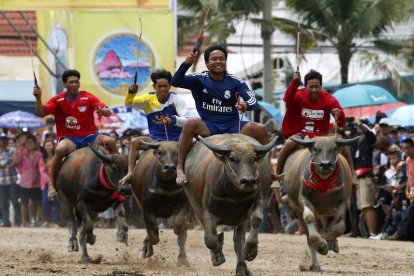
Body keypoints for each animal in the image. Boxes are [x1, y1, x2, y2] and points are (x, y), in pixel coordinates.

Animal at [184, 134, 274, 276]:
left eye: (254, 158)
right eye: (232, 158)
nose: (248, 181)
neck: (233, 195)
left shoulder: (258, 201)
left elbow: (256, 220)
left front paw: (250, 251)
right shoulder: (207, 211)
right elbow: (210, 240)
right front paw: (218, 257)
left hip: (241, 219)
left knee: (238, 240)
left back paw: (242, 268)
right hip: (195, 206)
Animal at [284, 136, 358, 272]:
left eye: (334, 148)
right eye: (316, 148)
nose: (325, 164)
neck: (324, 184)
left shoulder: (341, 203)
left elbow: (339, 227)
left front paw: (329, 241)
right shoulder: (304, 200)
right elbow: (309, 219)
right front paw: (321, 245)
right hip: (297, 209)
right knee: (309, 236)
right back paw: (315, 265)